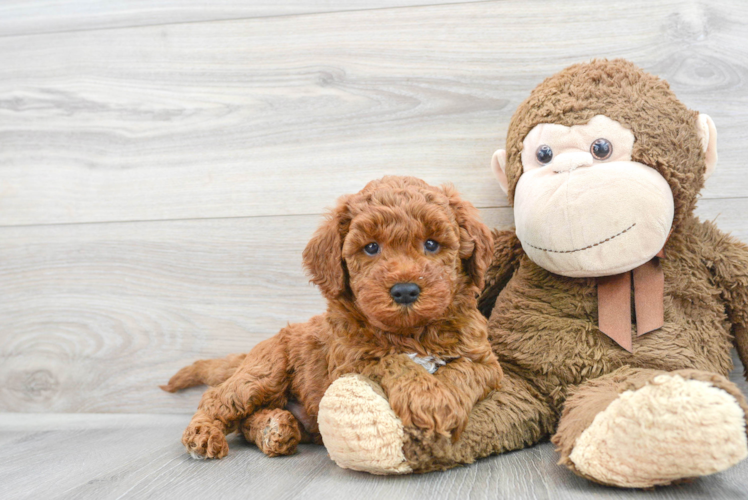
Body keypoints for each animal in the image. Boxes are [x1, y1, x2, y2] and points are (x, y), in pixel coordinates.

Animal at [163, 176, 502, 460]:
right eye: (371, 247)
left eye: (431, 244)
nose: (405, 290)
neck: (410, 333)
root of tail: (251, 354)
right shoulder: (349, 363)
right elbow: (393, 359)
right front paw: (427, 399)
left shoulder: (485, 362)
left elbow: (462, 371)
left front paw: (442, 402)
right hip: (266, 372)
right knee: (219, 398)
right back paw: (204, 434)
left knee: (247, 420)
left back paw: (276, 429)